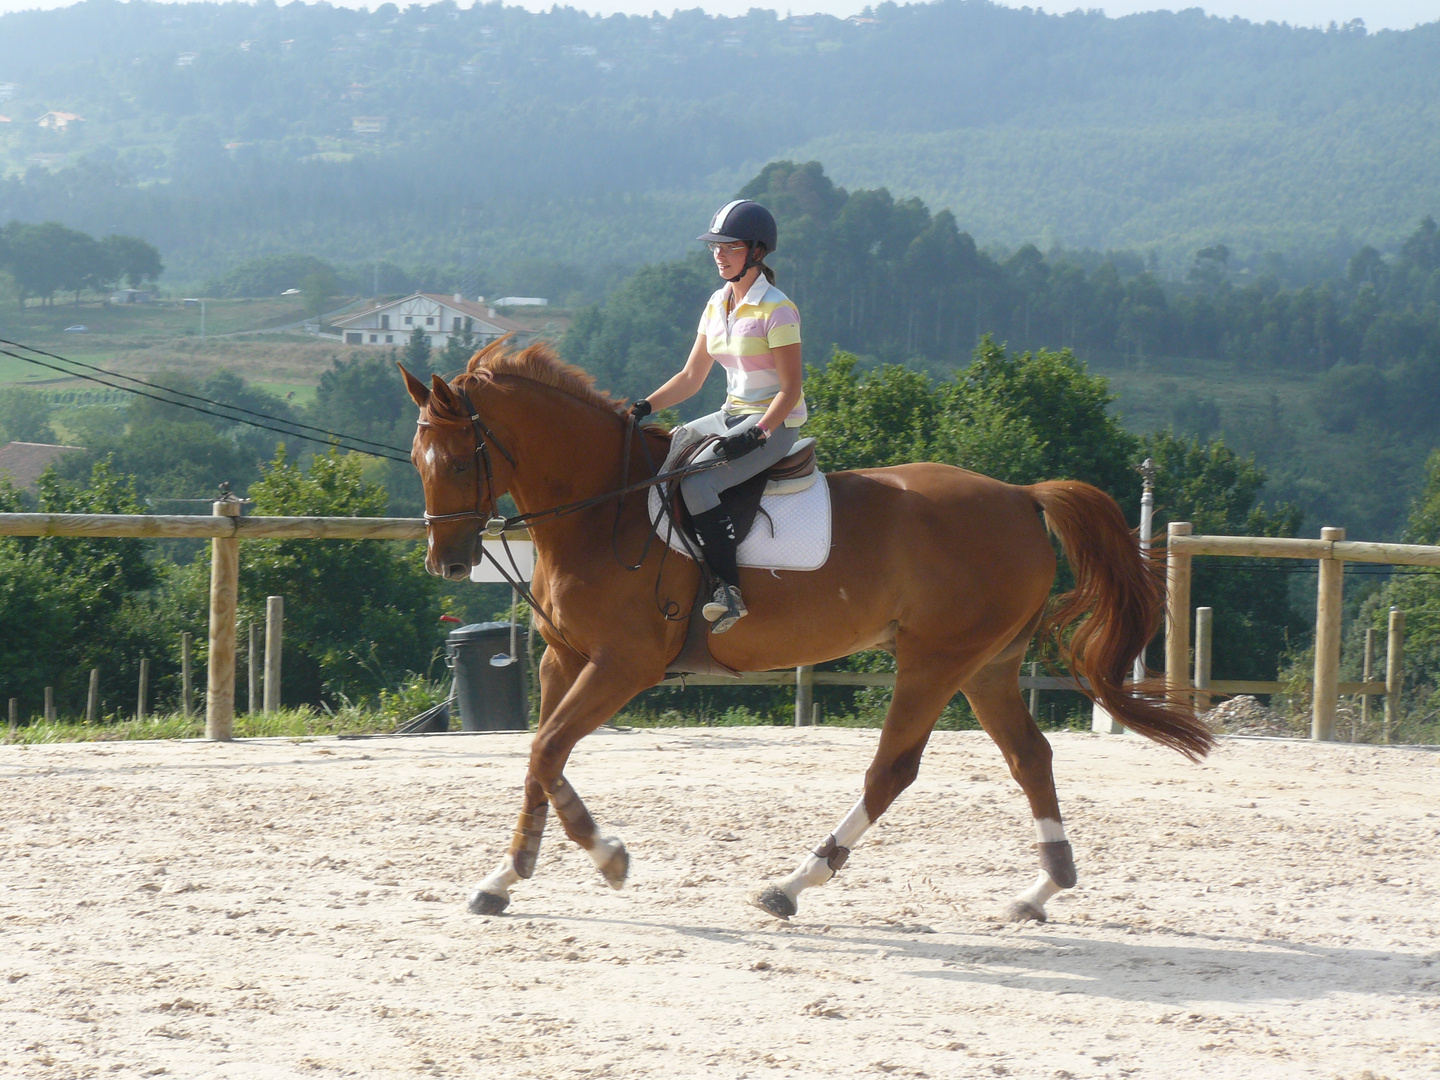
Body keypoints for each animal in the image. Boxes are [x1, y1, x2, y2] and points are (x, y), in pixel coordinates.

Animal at [403, 342, 1215, 927]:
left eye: (458, 460)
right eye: (417, 461)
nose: (446, 561)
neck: (605, 508)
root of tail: (1021, 496)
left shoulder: (623, 663)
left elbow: (546, 751)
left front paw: (608, 858)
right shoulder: (563, 659)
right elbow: (540, 760)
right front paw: (503, 880)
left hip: (935, 658)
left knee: (893, 771)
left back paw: (792, 885)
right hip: (987, 664)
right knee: (1030, 758)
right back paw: (1041, 891)